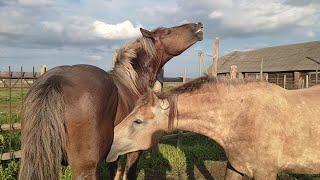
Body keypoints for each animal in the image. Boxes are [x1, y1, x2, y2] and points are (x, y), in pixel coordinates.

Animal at [18, 22, 202, 180]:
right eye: (167, 32)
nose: (198, 25)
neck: (133, 82)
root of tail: (56, 80)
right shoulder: (134, 151)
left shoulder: (114, 153)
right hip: (87, 168)